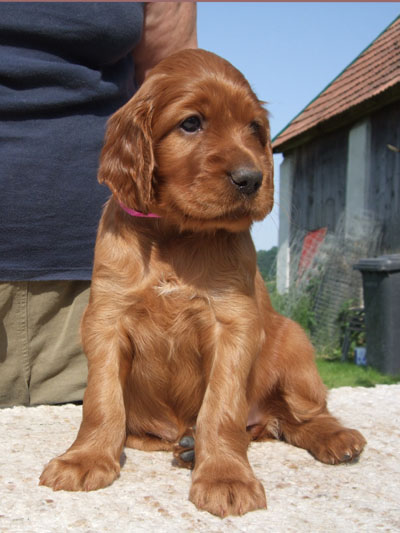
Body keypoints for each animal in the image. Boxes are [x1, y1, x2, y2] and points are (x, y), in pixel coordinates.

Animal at [40, 49, 366, 517]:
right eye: (191, 123)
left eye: (255, 128)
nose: (252, 179)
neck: (177, 233)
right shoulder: (106, 318)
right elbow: (102, 400)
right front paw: (85, 458)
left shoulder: (233, 324)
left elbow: (221, 408)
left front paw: (225, 477)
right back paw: (184, 445)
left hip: (295, 344)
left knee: (301, 416)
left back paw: (335, 438)